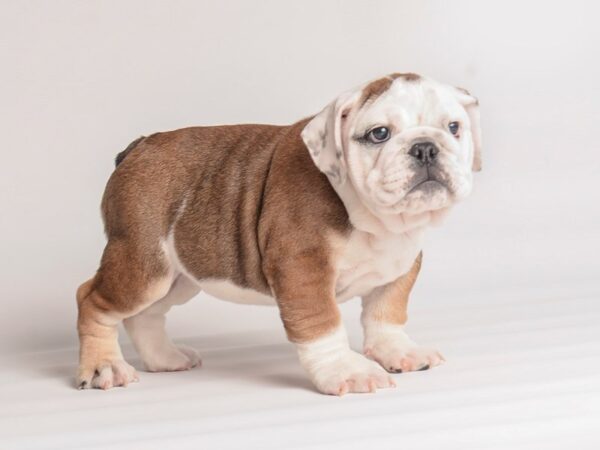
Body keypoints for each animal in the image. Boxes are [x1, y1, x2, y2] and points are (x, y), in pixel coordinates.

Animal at [75, 73, 480, 394]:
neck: (375, 219)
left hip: (178, 277)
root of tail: (140, 146)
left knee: (144, 315)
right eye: (379, 134)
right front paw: (346, 371)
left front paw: (399, 351)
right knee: (93, 299)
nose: (425, 147)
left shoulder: (400, 268)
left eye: (453, 128)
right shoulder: (303, 268)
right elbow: (322, 325)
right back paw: (103, 368)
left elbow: (387, 314)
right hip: (143, 264)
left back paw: (165, 358)